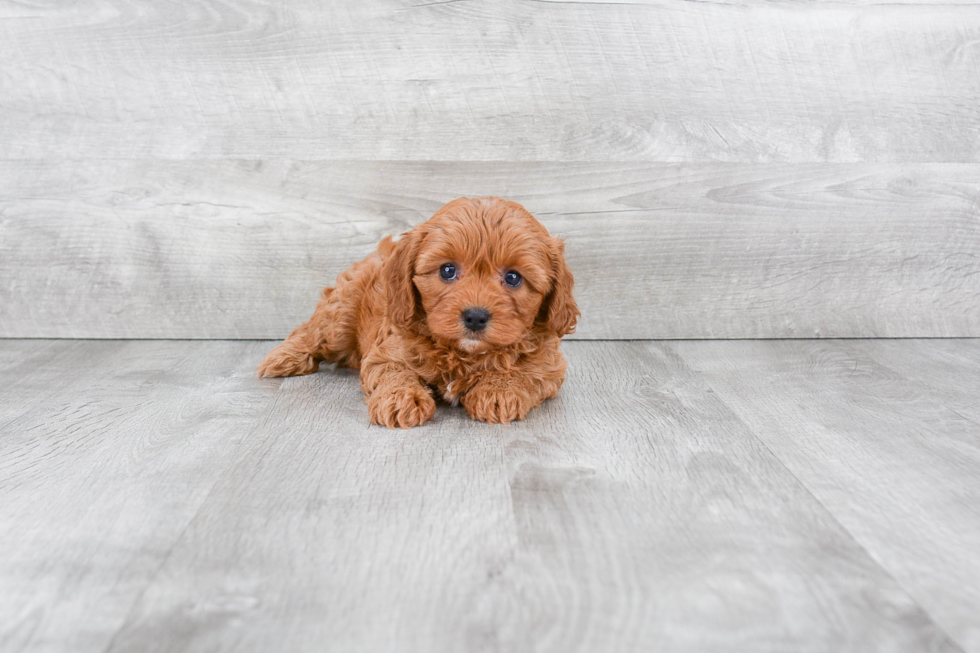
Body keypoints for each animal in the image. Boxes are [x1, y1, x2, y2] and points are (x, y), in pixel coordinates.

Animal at [256, 194, 580, 428]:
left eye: (513, 277)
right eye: (447, 270)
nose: (475, 316)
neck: (463, 354)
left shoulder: (549, 364)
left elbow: (527, 372)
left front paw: (498, 391)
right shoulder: (388, 351)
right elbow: (393, 372)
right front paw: (400, 400)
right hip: (341, 312)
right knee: (311, 331)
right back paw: (283, 358)